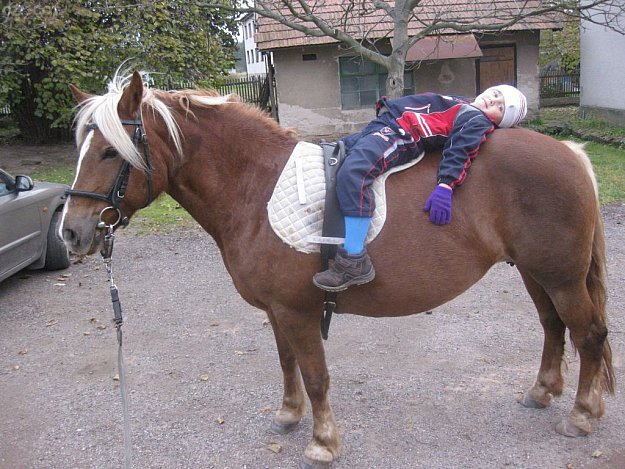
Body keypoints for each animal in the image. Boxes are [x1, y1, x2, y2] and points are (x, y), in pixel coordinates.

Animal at [62, 71, 616, 466]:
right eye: (82, 149)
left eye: (109, 151)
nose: (70, 232)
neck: (255, 185)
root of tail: (571, 152)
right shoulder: (277, 310)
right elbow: (287, 363)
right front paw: (288, 415)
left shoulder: (298, 310)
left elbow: (315, 375)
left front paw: (323, 442)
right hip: (535, 273)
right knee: (553, 326)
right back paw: (542, 392)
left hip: (560, 277)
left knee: (588, 334)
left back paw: (582, 416)